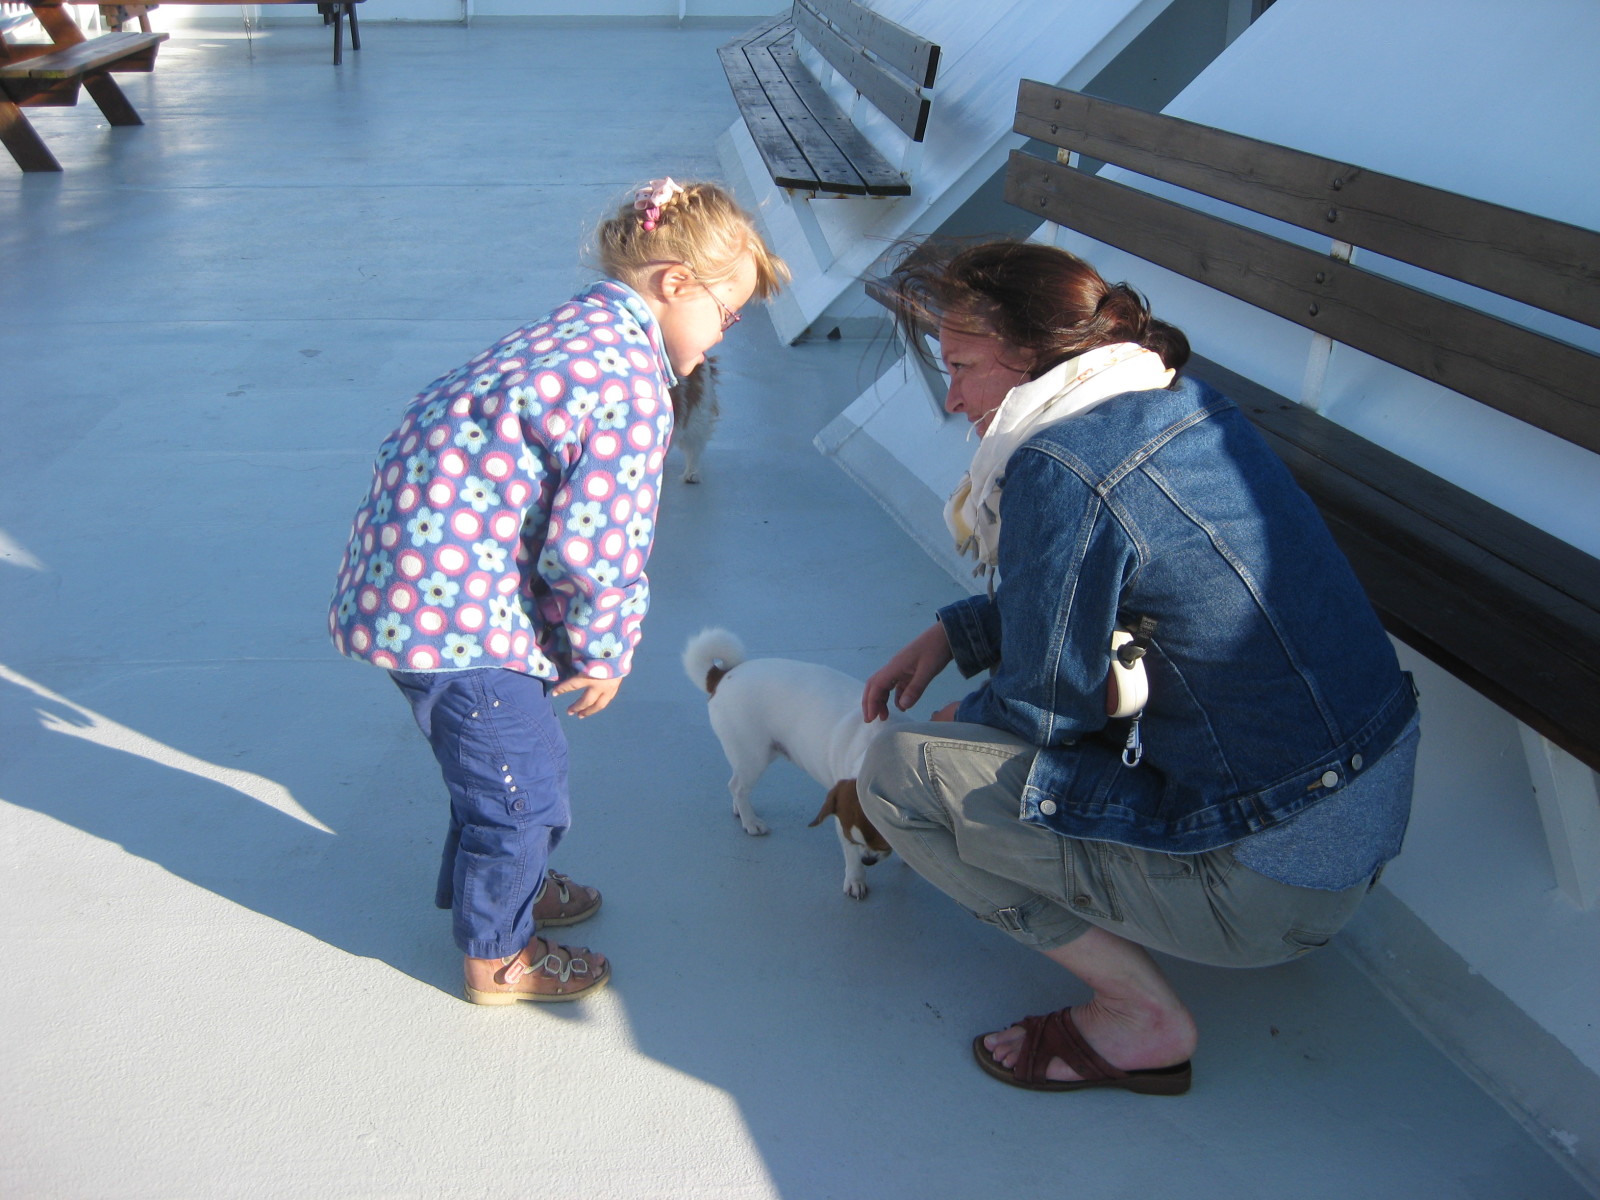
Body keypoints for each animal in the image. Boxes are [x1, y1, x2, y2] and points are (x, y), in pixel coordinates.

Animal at [683, 628, 898, 899]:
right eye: (857, 839)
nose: (868, 860)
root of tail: (721, 676)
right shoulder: (842, 817)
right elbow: (850, 856)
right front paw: (856, 879)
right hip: (754, 755)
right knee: (737, 786)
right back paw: (750, 822)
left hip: (752, 756)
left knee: (736, 782)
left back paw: (741, 811)